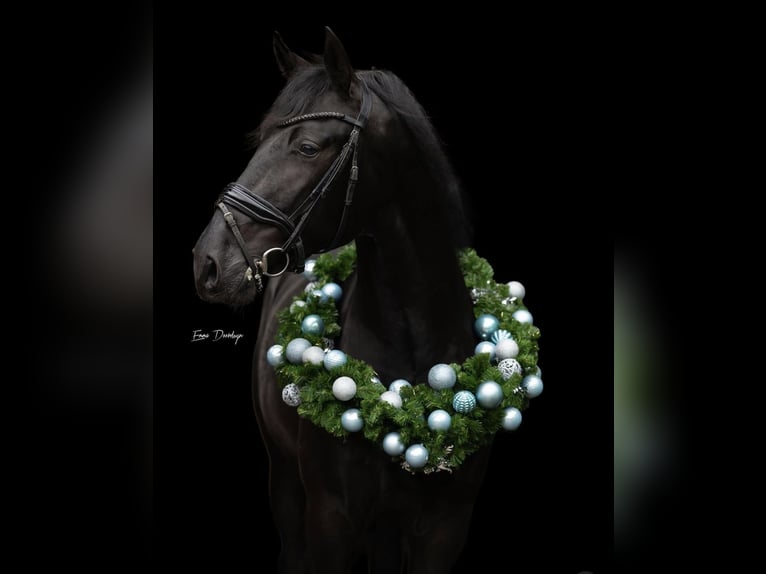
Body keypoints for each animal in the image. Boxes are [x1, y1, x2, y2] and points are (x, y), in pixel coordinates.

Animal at [193, 27, 491, 573]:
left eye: (308, 147)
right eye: (258, 142)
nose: (208, 262)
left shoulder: (444, 529)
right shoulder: (330, 518)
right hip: (285, 481)